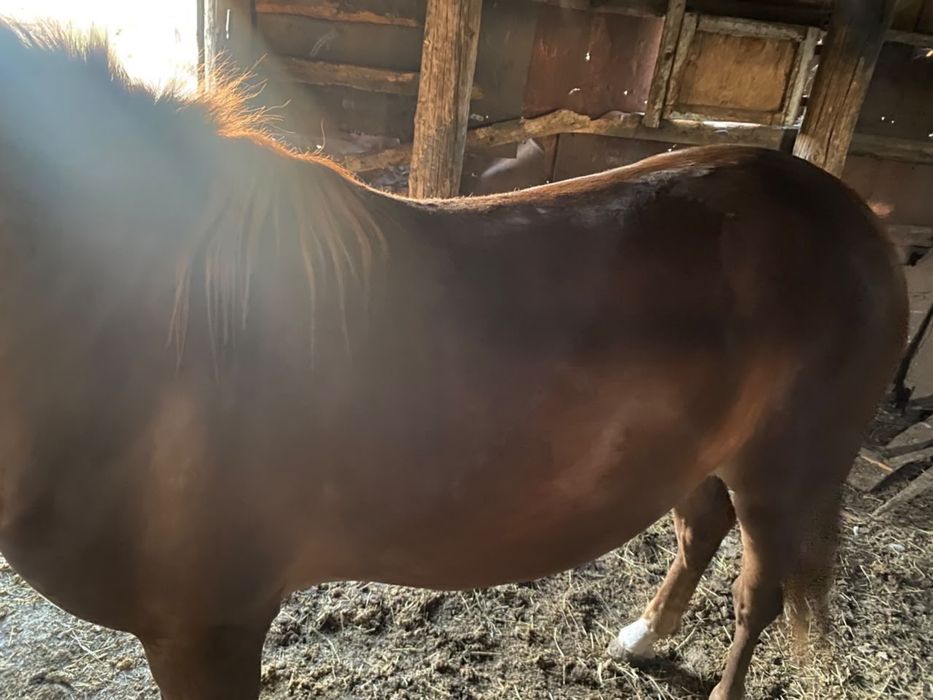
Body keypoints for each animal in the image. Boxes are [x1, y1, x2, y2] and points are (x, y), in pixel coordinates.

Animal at [0, 21, 907, 700]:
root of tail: (855, 219)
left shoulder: (206, 629)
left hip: (781, 474)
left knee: (759, 594)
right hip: (698, 455)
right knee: (699, 531)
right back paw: (641, 638)